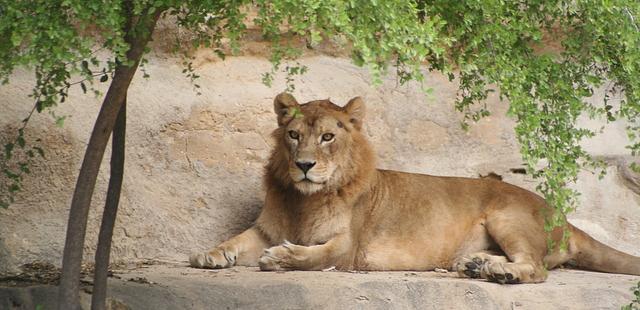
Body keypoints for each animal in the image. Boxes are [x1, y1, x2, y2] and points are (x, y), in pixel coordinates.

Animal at [190, 93, 640, 284]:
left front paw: (281, 258)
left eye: (328, 137)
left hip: (506, 215)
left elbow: (313, 257)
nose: (303, 165)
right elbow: (235, 239)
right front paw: (208, 254)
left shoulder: (348, 248)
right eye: (294, 135)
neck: (305, 199)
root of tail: (562, 215)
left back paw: (500, 273)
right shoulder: (266, 228)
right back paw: (477, 265)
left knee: (537, 269)